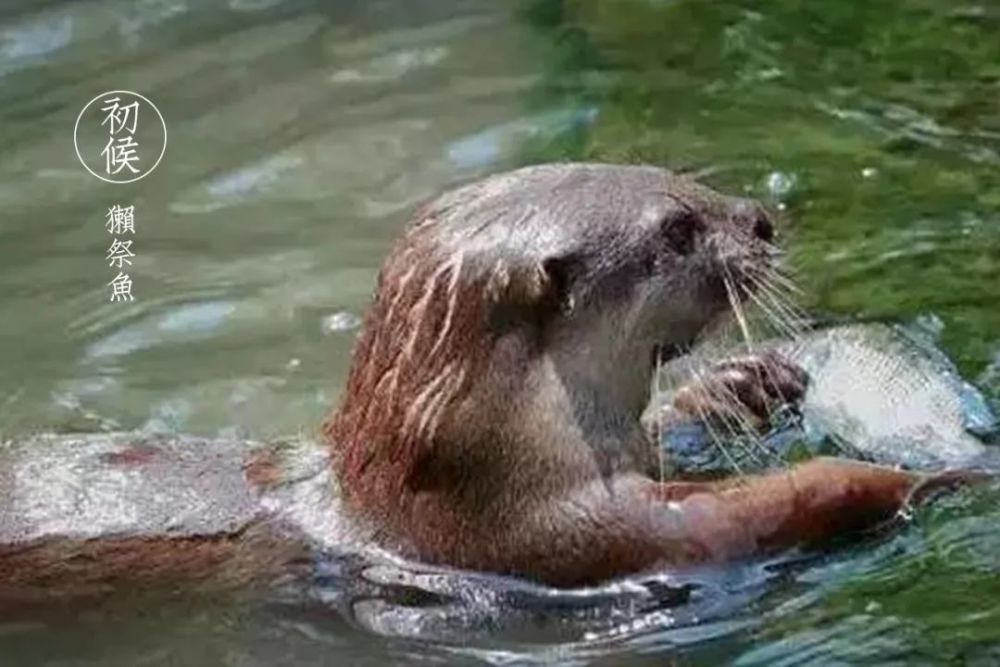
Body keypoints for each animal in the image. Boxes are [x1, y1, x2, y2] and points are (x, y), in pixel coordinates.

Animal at [0, 162, 984, 600]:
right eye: (675, 228)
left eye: (672, 172)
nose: (763, 219)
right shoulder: (550, 535)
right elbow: (740, 516)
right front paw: (916, 480)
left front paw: (745, 382)